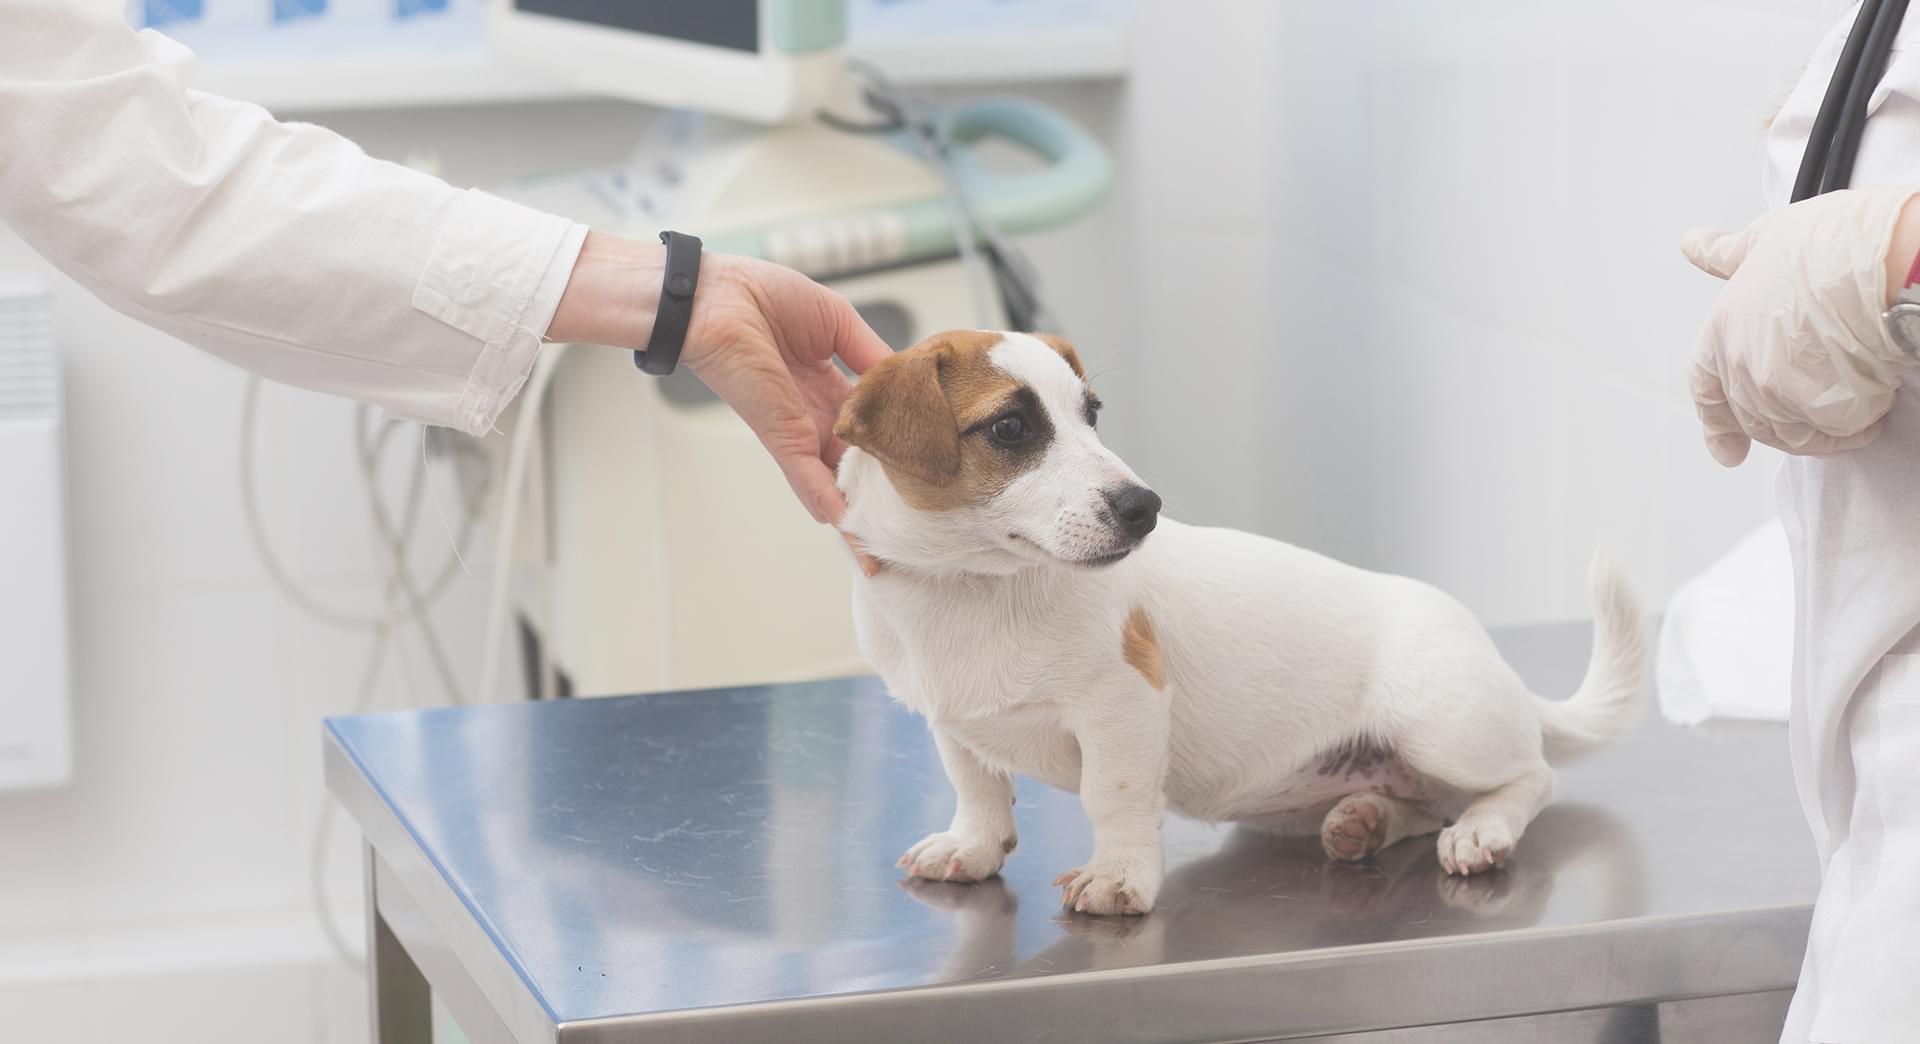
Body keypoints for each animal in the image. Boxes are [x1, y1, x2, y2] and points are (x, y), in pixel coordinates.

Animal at [833, 328, 1643, 913]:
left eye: (1091, 415)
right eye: (1009, 427)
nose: (1145, 507)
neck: (971, 587)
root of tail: (1499, 669)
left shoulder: (1123, 703)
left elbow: (1111, 796)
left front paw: (1119, 876)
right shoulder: (953, 720)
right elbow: (976, 788)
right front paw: (972, 847)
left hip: (1440, 723)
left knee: (1530, 779)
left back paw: (1483, 831)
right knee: (1428, 801)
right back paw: (1367, 819)